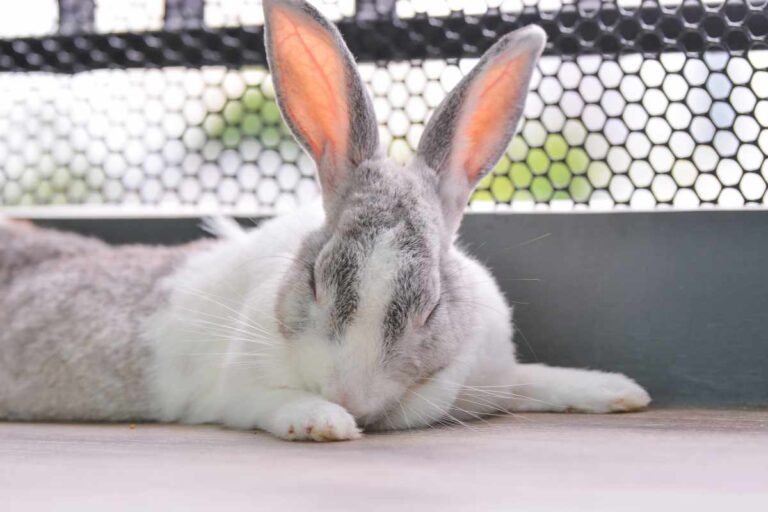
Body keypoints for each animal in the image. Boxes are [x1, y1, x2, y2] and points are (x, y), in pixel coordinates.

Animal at [0, 0, 650, 442]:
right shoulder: (236, 389)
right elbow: (269, 404)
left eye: (432, 307)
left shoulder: (494, 371)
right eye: (314, 281)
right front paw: (324, 421)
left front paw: (620, 391)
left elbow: (535, 377)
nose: (350, 396)